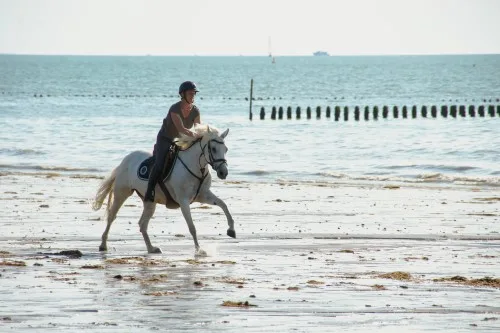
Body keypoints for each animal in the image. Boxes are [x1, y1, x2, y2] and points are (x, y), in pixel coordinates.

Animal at [92, 123, 236, 255]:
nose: (223, 173)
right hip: (122, 193)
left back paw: (151, 248)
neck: (195, 167)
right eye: (213, 149)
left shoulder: (204, 195)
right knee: (112, 216)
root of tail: (126, 160)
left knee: (142, 224)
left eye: (226, 149)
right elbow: (192, 226)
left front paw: (231, 230)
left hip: (150, 201)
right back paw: (103, 245)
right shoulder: (183, 200)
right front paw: (199, 250)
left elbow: (223, 205)